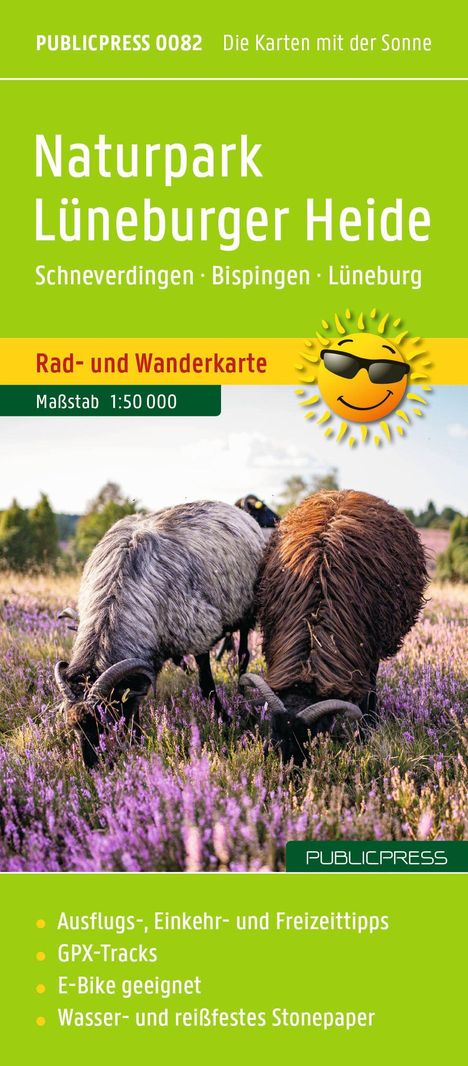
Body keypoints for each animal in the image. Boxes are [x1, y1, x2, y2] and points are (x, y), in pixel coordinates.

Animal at [55, 500, 266, 768]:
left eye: (105, 721)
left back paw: (241, 694)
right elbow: (135, 699)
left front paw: (225, 720)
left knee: (243, 655)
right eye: (74, 727)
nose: (92, 767)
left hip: (246, 612)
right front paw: (137, 739)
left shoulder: (197, 631)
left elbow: (206, 685)